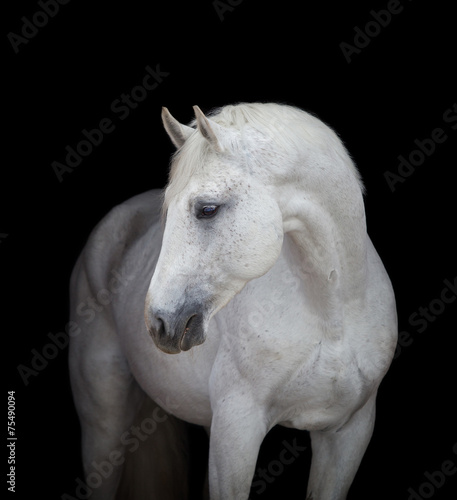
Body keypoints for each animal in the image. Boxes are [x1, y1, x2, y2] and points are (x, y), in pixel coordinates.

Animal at [69, 102, 398, 500]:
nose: (158, 323)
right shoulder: (237, 430)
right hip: (104, 424)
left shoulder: (348, 433)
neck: (334, 315)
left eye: (207, 209)